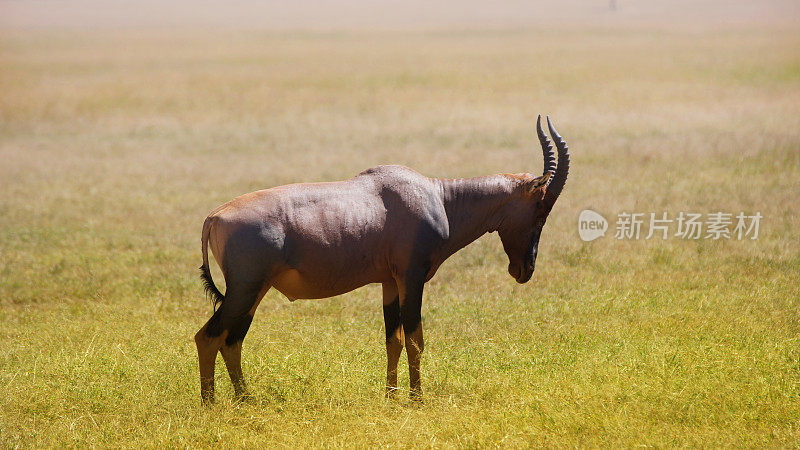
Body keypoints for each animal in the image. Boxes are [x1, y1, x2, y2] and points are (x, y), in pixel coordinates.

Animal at [194, 114, 568, 402]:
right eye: (540, 209)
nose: (524, 270)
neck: (437, 197)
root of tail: (214, 216)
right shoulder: (412, 277)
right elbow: (416, 339)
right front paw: (417, 399)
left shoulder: (390, 282)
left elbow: (394, 340)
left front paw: (391, 397)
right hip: (245, 289)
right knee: (208, 337)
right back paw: (211, 405)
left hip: (254, 291)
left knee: (232, 340)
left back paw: (245, 400)